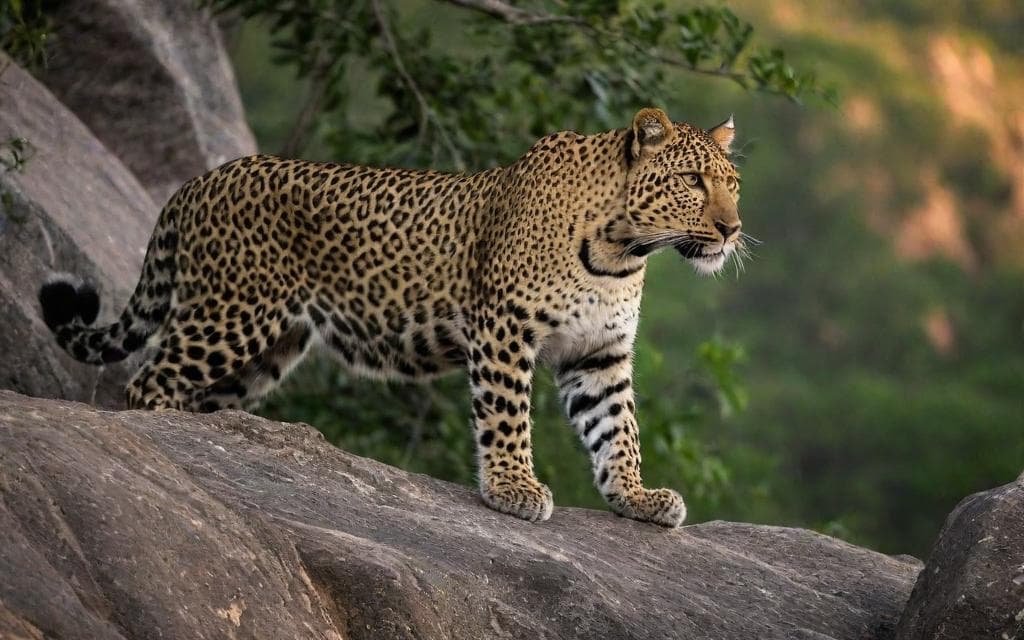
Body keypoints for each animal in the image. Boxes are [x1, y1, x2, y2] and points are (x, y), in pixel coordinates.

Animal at [38, 107, 743, 528]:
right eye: (692, 180)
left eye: (733, 183)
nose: (733, 229)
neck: (623, 249)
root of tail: (198, 182)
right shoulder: (505, 331)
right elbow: (507, 418)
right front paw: (512, 488)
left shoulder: (599, 354)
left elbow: (617, 429)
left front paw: (636, 498)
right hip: (229, 315)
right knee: (146, 383)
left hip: (268, 348)